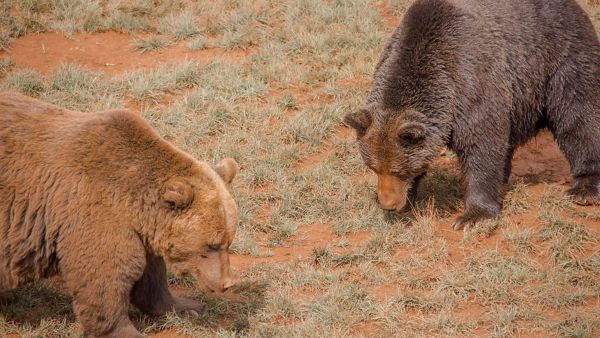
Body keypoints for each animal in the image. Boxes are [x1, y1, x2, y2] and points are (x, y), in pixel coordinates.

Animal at [344, 0, 600, 230]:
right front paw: (408, 200)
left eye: (399, 170)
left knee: (578, 115)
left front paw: (472, 216)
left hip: (560, 58)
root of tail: (574, 7)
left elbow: (481, 147)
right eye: (374, 168)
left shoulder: (472, 84)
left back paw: (585, 188)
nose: (387, 203)